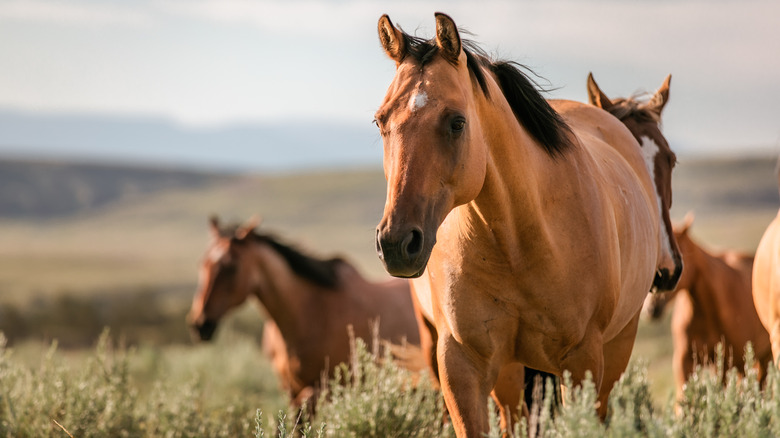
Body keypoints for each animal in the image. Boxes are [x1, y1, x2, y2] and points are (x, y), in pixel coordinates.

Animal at [187, 217, 420, 412]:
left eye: (231, 267)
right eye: (202, 264)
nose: (200, 325)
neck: (308, 313)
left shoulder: (321, 390)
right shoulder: (289, 390)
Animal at [372, 13, 672, 434]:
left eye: (457, 122)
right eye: (380, 121)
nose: (397, 243)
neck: (516, 242)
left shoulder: (581, 362)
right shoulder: (461, 365)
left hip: (612, 353)